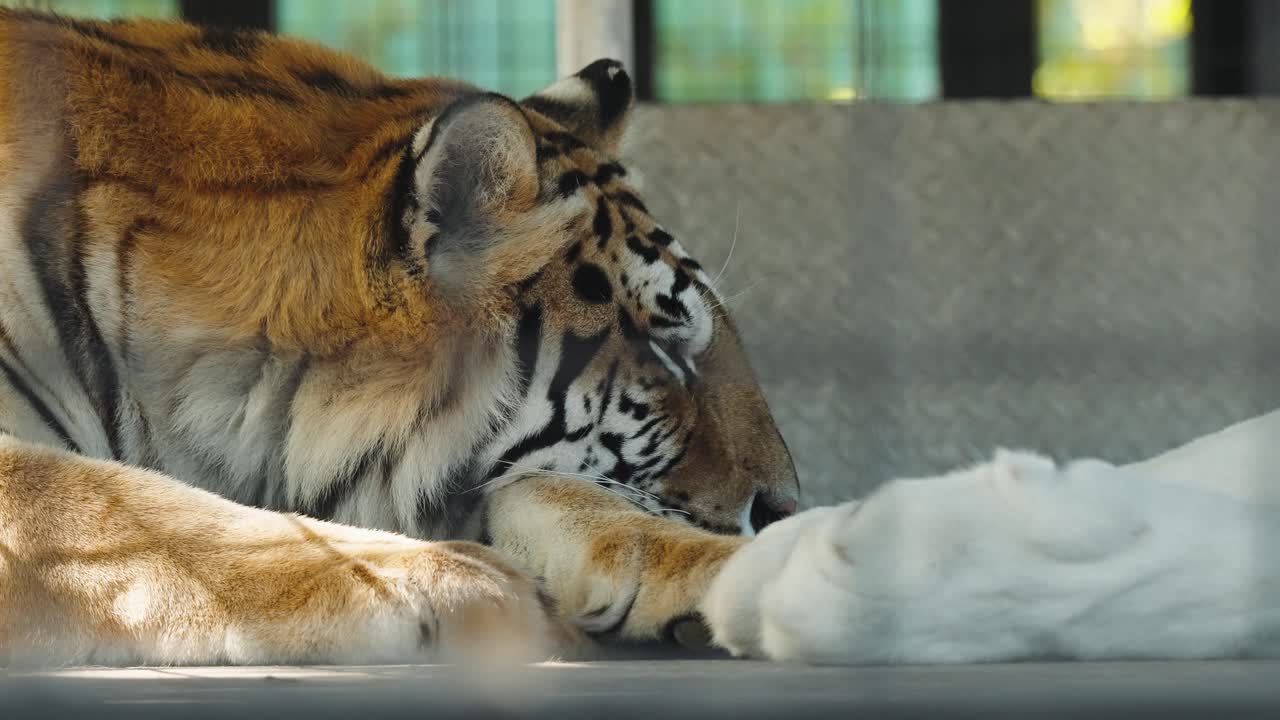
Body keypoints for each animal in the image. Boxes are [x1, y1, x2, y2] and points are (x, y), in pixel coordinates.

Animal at [0, 9, 799, 665]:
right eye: (666, 349)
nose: (786, 508)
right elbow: (113, 505)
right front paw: (456, 580)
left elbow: (566, 495)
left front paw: (743, 570)